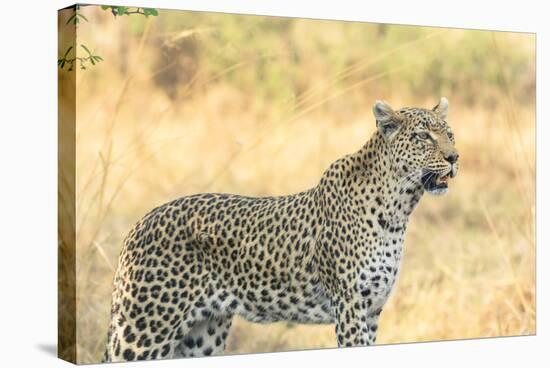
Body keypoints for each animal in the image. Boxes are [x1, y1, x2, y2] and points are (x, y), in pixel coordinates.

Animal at [103, 97, 462, 362]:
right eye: (423, 137)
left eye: (450, 134)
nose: (454, 157)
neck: (399, 207)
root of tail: (139, 224)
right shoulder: (350, 305)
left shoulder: (372, 309)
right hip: (144, 328)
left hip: (201, 334)